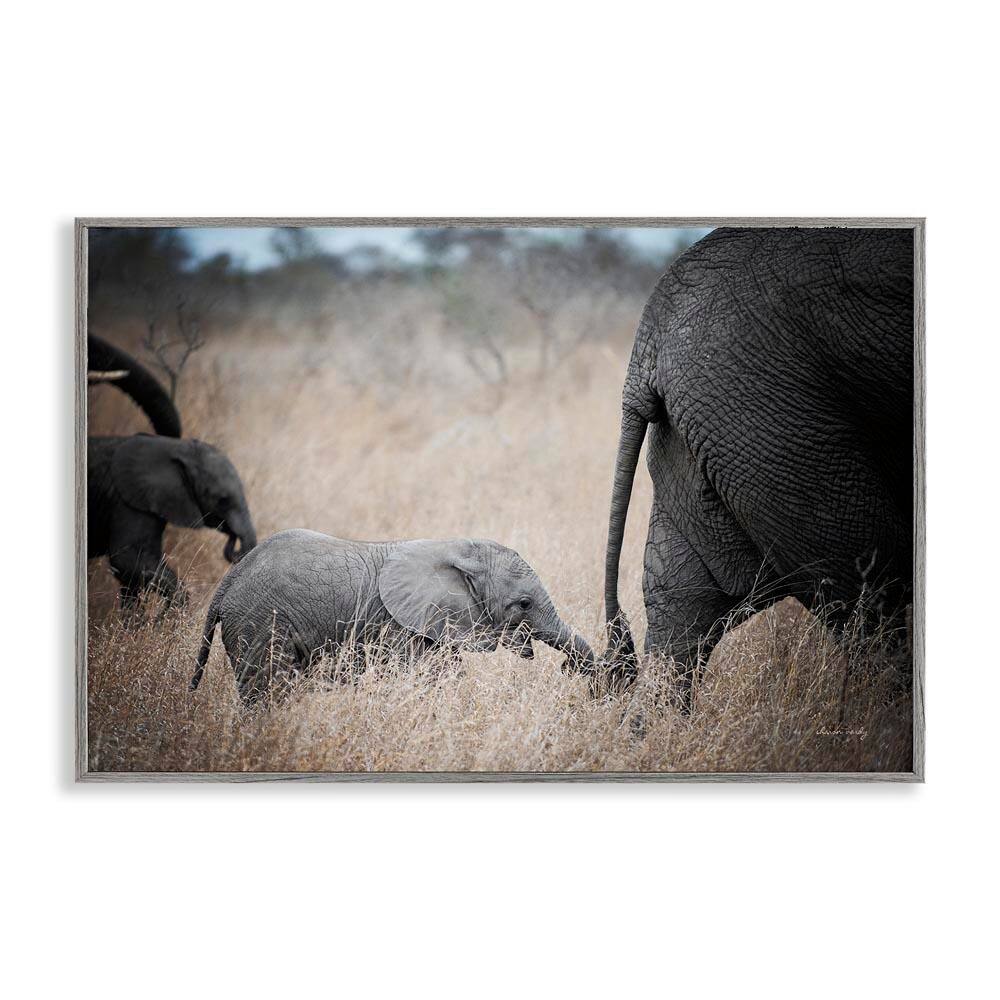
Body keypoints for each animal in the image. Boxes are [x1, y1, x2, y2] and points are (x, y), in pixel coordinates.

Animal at [87, 335, 257, 608]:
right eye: (222, 500)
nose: (234, 544)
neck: (176, 453)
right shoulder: (128, 503)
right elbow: (130, 562)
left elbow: (131, 575)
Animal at [190, 529, 596, 706]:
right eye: (524, 604)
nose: (571, 670)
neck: (456, 548)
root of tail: (229, 581)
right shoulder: (398, 626)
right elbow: (430, 679)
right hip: (258, 621)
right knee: (268, 688)